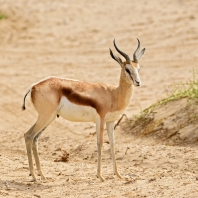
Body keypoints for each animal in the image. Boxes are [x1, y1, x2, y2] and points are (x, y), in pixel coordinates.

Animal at [22, 38, 145, 182]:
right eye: (127, 69)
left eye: (138, 68)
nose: (138, 82)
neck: (113, 94)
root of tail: (34, 86)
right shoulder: (100, 119)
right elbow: (100, 143)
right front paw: (100, 176)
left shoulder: (111, 121)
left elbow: (113, 144)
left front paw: (118, 174)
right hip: (45, 116)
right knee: (28, 135)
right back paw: (34, 176)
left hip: (49, 118)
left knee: (35, 138)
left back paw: (42, 175)